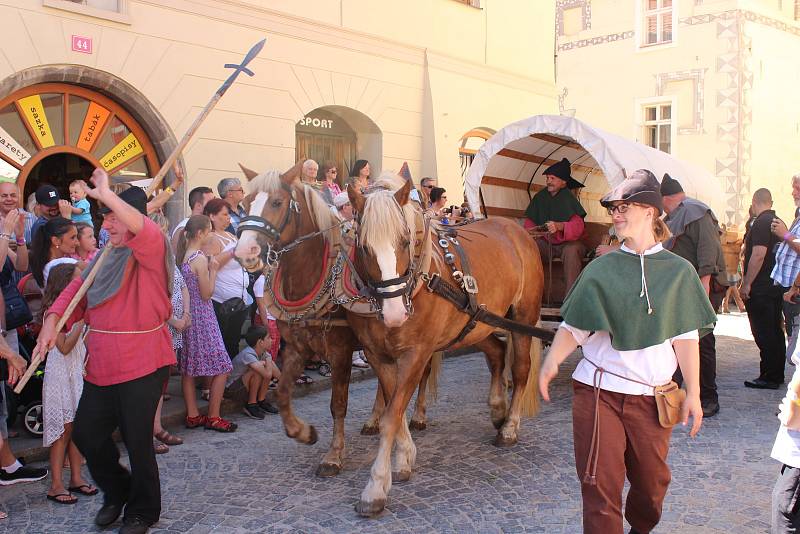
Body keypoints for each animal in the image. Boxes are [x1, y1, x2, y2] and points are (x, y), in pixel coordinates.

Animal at [234, 164, 440, 478]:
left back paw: (417, 416)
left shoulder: (340, 351)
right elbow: (281, 392)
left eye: (277, 202)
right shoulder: (296, 348)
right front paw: (303, 432)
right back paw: (375, 420)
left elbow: (338, 404)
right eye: (244, 204)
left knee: (422, 373)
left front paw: (333, 455)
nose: (245, 252)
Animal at [344, 176, 544, 520]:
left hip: (523, 317)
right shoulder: (376, 354)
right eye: (364, 245)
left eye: (404, 241)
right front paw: (404, 458)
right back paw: (498, 409)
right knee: (496, 354)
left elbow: (392, 415)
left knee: (520, 371)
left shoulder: (416, 353)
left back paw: (509, 427)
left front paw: (375, 488)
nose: (395, 313)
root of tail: (516, 229)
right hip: (477, 323)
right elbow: (393, 409)